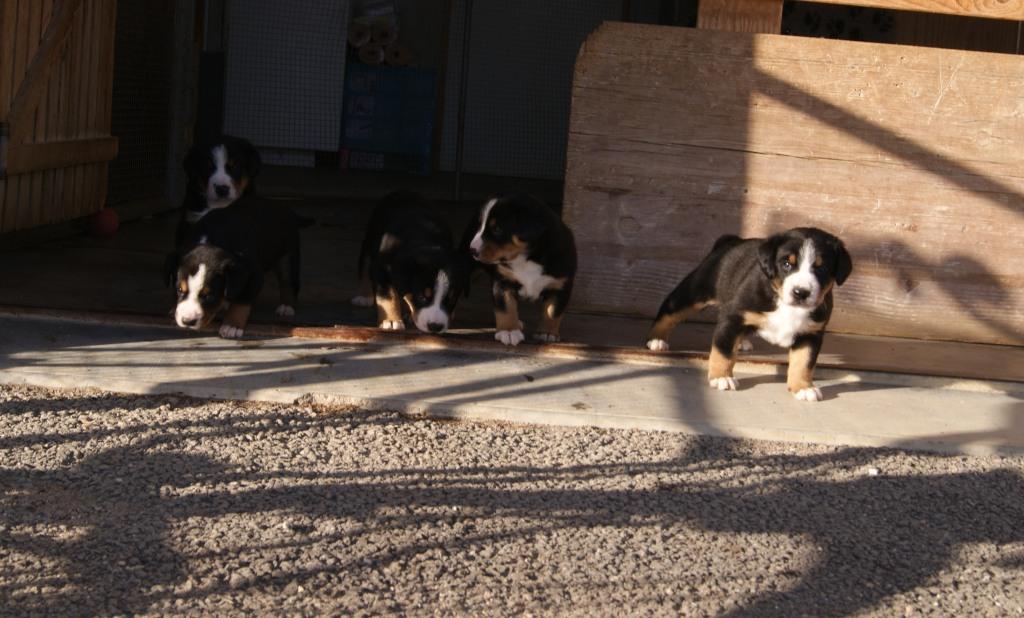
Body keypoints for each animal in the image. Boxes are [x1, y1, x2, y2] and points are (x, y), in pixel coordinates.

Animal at [167, 199, 306, 339]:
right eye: (179, 289)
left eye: (210, 296)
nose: (187, 321)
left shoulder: (253, 274)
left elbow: (241, 302)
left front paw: (232, 325)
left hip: (289, 253)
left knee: (288, 281)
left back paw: (286, 306)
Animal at [353, 192, 468, 334]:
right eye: (421, 297)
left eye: (451, 299)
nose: (435, 326)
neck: (426, 240)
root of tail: (401, 192)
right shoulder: (381, 268)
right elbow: (388, 296)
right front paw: (391, 320)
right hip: (370, 238)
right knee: (364, 265)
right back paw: (363, 296)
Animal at [464, 194, 576, 346]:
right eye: (480, 227)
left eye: (497, 229)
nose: (472, 250)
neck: (526, 258)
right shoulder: (502, 281)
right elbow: (506, 307)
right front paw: (508, 331)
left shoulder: (560, 285)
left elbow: (552, 311)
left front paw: (547, 333)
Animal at [646, 227, 852, 402]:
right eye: (787, 264)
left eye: (822, 268)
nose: (801, 292)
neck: (786, 304)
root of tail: (731, 241)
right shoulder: (733, 318)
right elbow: (723, 352)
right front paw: (722, 377)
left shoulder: (810, 333)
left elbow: (803, 363)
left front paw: (803, 387)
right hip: (696, 291)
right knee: (669, 311)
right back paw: (656, 339)